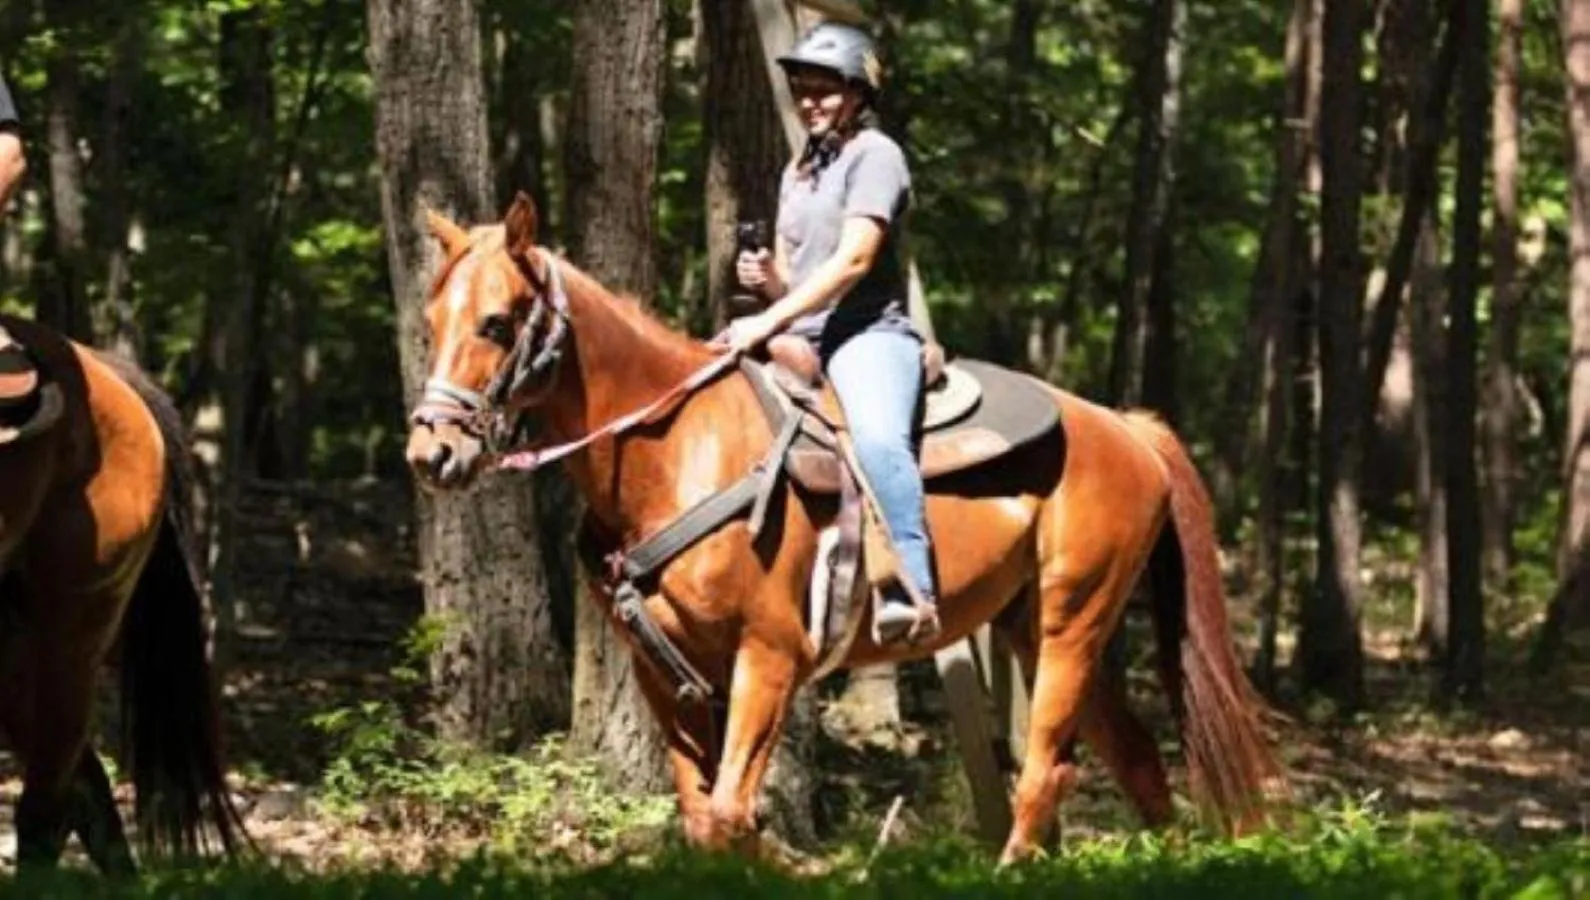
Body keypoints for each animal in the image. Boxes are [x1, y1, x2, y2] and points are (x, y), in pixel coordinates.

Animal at [405, 193, 1284, 864]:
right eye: (431, 321)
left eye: (495, 323)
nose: (430, 450)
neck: (677, 449)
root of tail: (1128, 429)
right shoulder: (664, 672)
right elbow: (704, 818)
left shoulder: (770, 657)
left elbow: (732, 812)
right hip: (1036, 625)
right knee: (1133, 756)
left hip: (1074, 622)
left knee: (1043, 770)